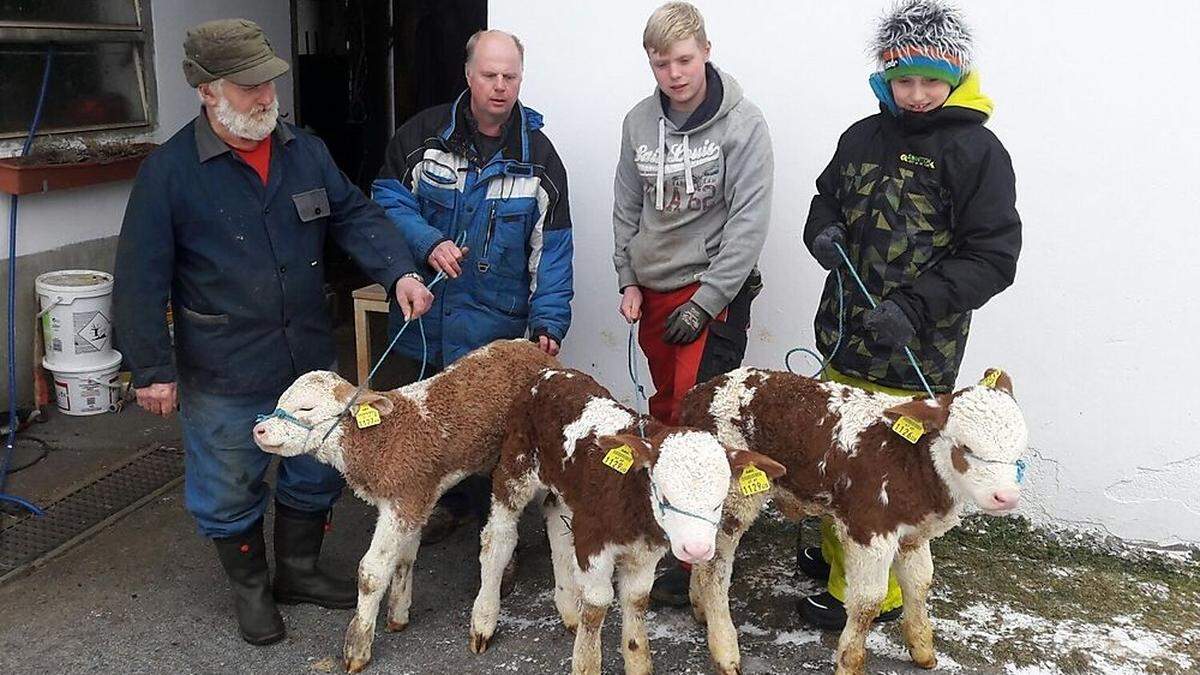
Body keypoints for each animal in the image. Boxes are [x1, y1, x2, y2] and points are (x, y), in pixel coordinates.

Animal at [252, 338, 556, 667]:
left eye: (306, 407)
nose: (259, 430)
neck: (379, 437)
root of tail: (532, 347)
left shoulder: (402, 501)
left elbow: (371, 572)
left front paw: (358, 646)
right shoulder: (415, 498)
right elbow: (404, 557)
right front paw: (398, 614)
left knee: (499, 540)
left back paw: (485, 620)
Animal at [463, 367, 782, 672]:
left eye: (719, 501)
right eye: (664, 494)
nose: (697, 550)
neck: (633, 499)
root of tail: (548, 374)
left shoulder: (646, 552)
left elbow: (637, 599)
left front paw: (637, 661)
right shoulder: (592, 540)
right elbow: (597, 604)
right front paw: (586, 664)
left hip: (566, 488)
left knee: (556, 524)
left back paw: (568, 609)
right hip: (515, 465)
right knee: (498, 539)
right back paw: (484, 621)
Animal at [681, 367, 1027, 672]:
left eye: (1019, 450)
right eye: (965, 446)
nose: (1006, 497)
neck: (913, 461)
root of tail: (699, 393)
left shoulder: (913, 532)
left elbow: (920, 582)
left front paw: (923, 649)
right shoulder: (869, 526)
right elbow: (868, 601)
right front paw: (850, 662)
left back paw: (700, 608)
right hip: (733, 496)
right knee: (715, 569)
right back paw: (725, 650)